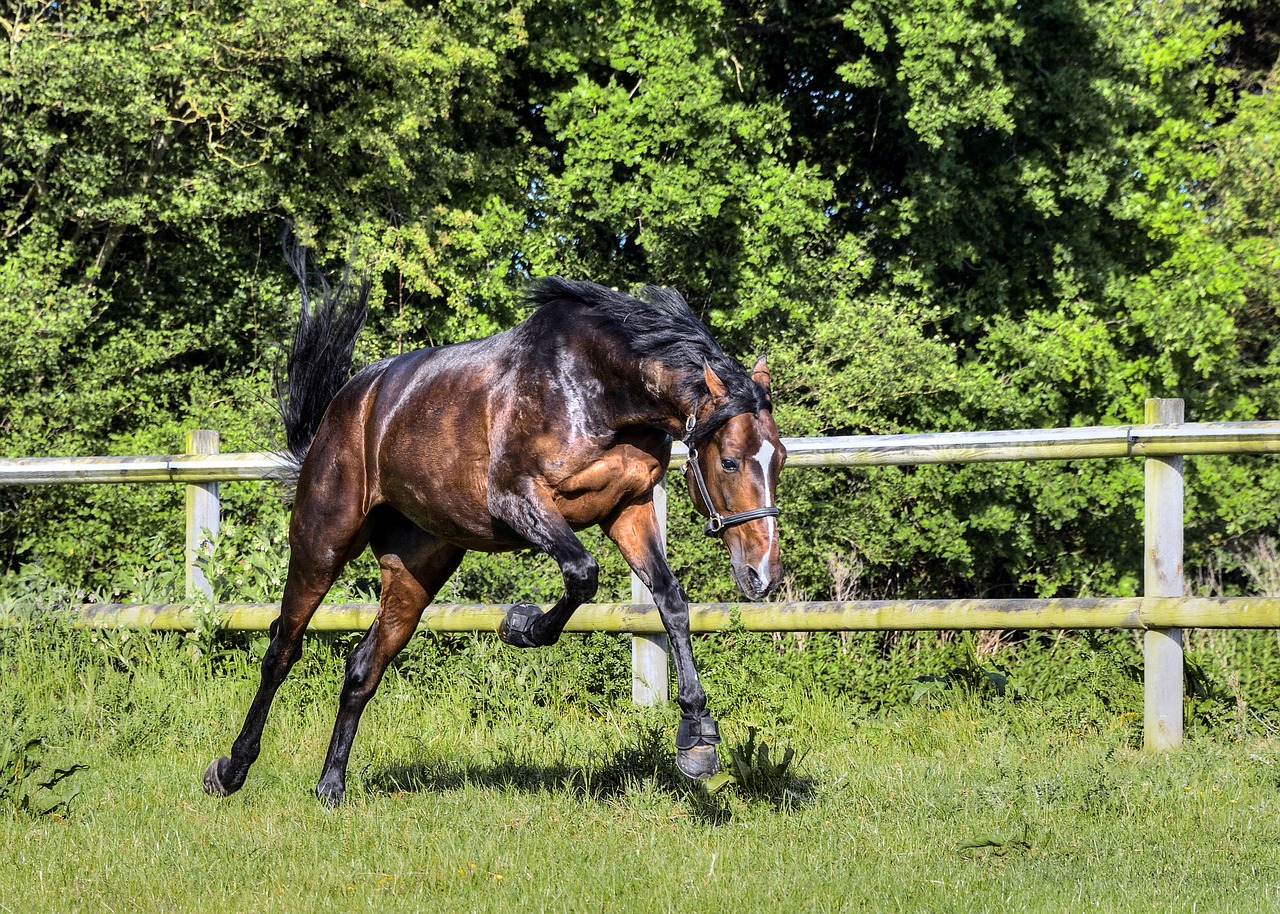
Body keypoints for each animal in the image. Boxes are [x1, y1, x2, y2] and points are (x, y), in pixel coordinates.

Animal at [200, 245, 783, 798]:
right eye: (730, 461)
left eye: (777, 458)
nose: (763, 575)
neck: (596, 389)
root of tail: (346, 408)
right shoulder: (518, 499)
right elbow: (582, 574)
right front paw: (519, 626)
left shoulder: (628, 509)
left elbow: (670, 601)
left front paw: (697, 737)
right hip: (322, 542)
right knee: (283, 647)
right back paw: (229, 770)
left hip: (418, 568)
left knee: (364, 665)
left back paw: (331, 785)